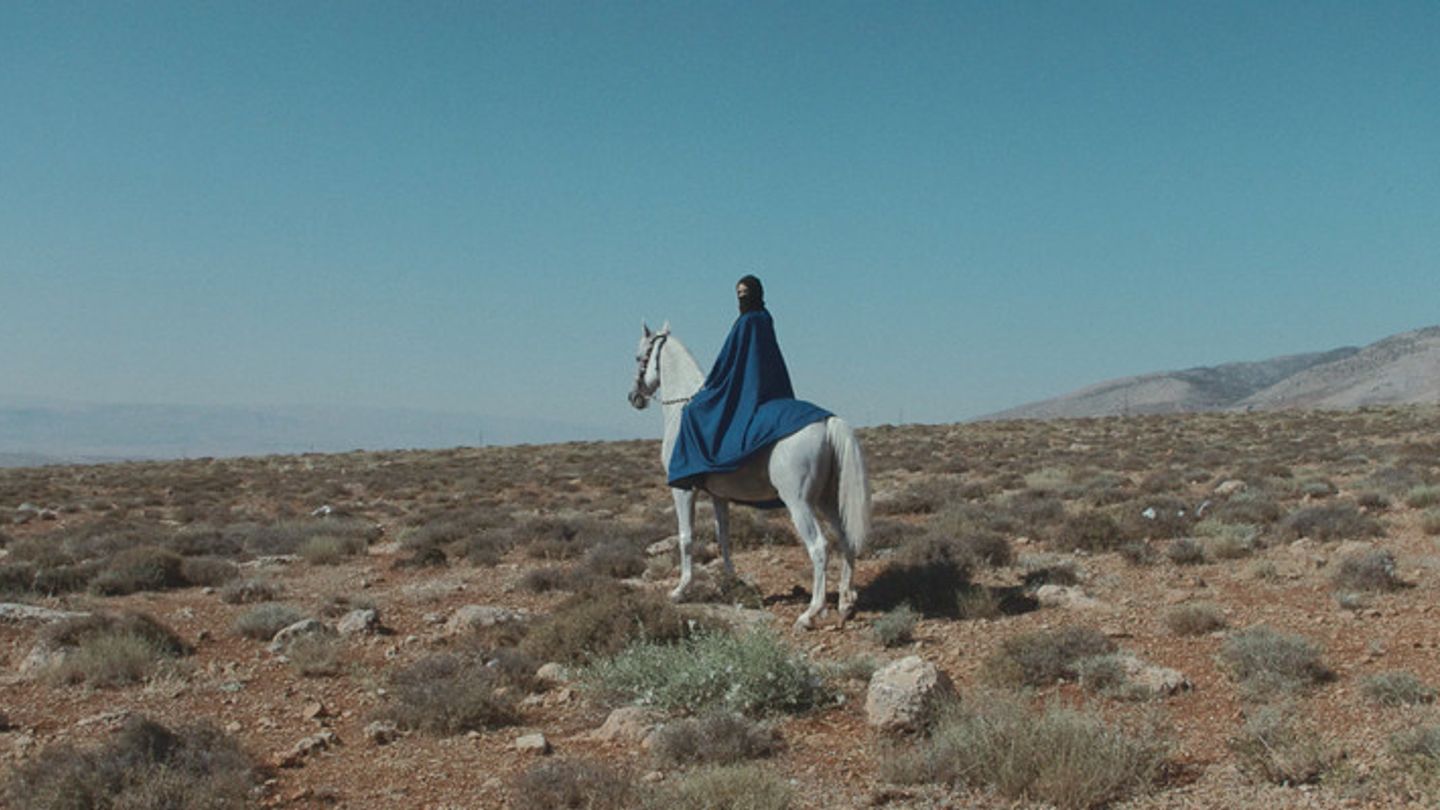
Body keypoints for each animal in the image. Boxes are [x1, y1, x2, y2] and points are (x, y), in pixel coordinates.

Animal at [628, 321, 871, 630]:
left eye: (639, 357)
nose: (634, 397)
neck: (682, 410)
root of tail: (827, 421)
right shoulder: (719, 496)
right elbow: (723, 536)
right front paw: (730, 581)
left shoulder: (682, 490)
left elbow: (686, 537)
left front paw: (680, 590)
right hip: (826, 500)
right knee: (845, 539)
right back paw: (844, 602)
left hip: (800, 503)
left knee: (819, 547)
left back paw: (810, 613)